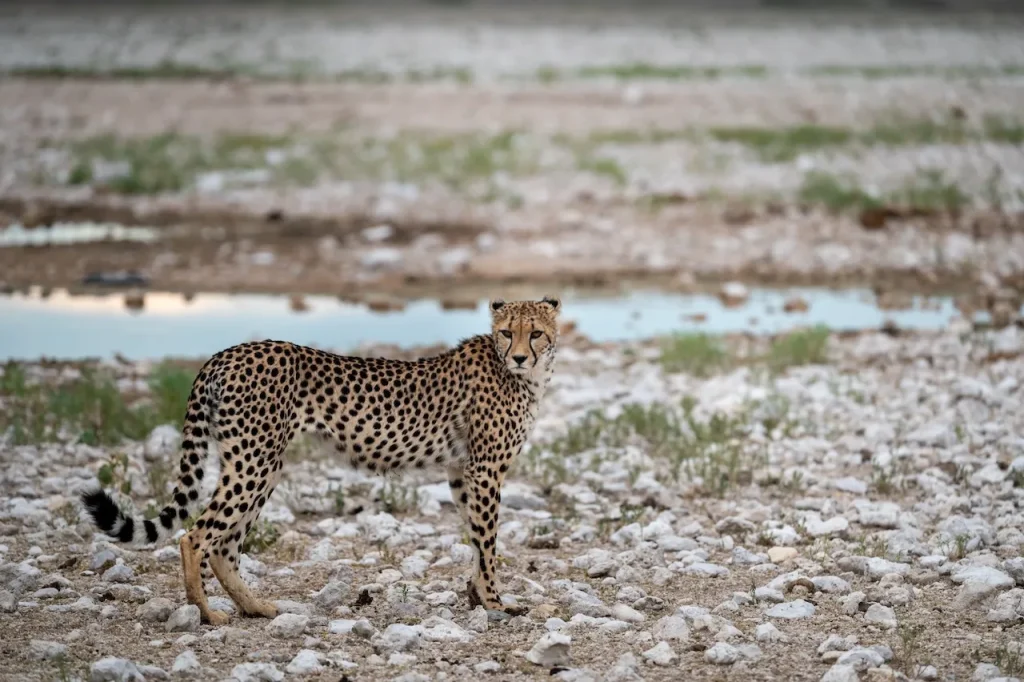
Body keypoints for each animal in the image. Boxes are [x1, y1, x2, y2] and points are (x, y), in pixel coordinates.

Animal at [80, 295, 561, 625]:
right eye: (507, 332)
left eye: (535, 332)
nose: (520, 355)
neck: (522, 373)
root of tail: (226, 353)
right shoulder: (485, 471)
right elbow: (489, 543)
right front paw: (497, 602)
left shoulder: (462, 471)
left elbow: (476, 540)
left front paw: (478, 596)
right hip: (253, 461)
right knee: (195, 536)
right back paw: (206, 614)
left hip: (261, 463)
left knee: (225, 545)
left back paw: (254, 607)